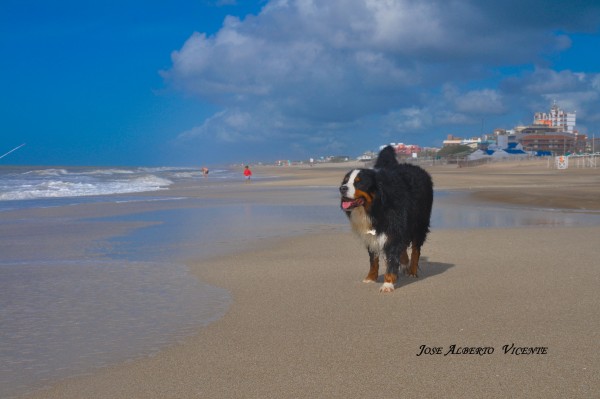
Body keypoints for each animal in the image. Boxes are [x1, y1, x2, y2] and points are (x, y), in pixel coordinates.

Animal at [340, 147, 434, 294]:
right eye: (345, 180)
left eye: (359, 182)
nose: (342, 188)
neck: (375, 206)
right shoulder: (371, 235)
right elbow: (374, 259)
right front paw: (371, 278)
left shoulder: (394, 229)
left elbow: (392, 256)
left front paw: (388, 283)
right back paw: (404, 264)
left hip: (419, 224)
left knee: (415, 250)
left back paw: (412, 270)